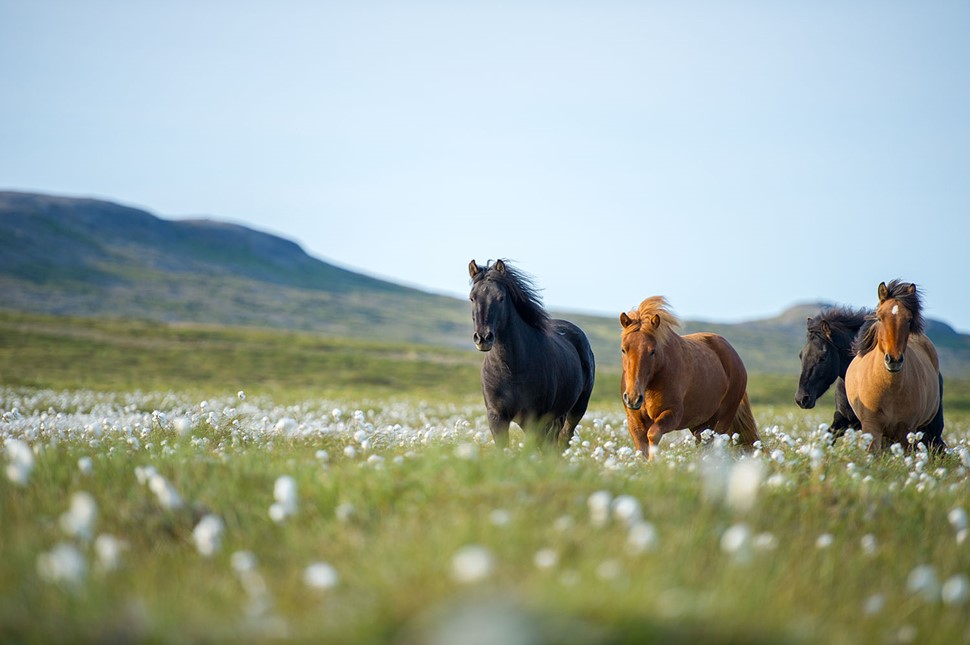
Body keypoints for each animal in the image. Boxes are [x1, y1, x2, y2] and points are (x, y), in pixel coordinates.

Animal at [466, 260, 592, 450]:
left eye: (500, 297)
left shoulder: (535, 420)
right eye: (472, 297)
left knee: (563, 439)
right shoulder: (497, 418)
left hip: (576, 410)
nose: (483, 338)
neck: (512, 369)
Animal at [620, 296, 756, 458]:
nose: (633, 398)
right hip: (701, 424)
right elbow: (642, 449)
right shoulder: (635, 423)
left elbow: (653, 434)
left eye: (652, 351)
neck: (649, 387)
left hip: (722, 419)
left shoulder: (672, 414)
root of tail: (734, 355)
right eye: (623, 349)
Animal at [844, 280, 940, 450]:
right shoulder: (871, 426)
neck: (890, 387)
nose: (894, 360)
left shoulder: (906, 430)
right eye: (880, 317)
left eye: (909, 320)